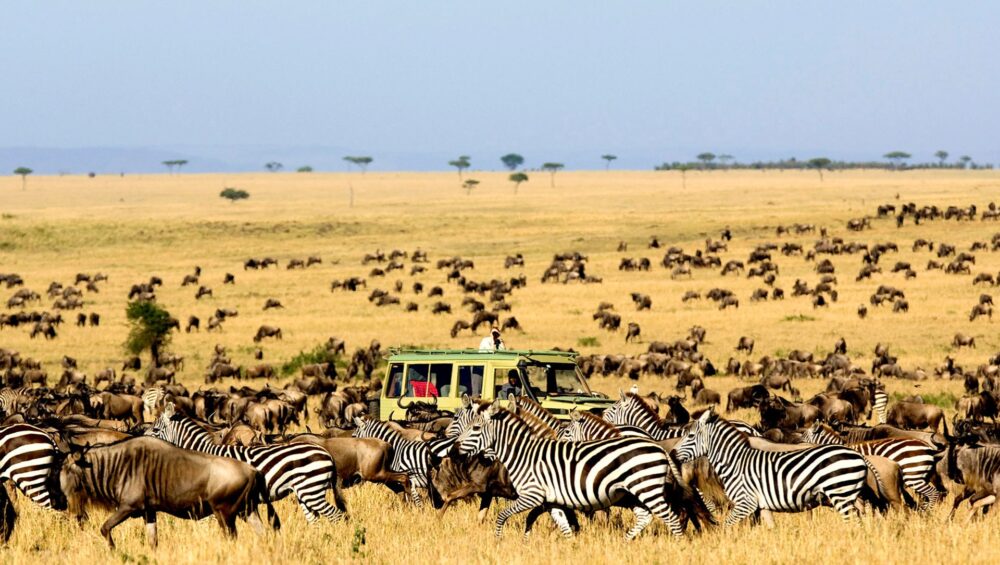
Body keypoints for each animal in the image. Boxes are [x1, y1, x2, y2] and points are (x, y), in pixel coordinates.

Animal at [146, 404, 346, 524]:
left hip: (312, 489)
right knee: (315, 520)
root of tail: (326, 453)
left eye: (155, 429)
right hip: (304, 492)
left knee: (336, 515)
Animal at [456, 400, 684, 536]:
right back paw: (627, 542)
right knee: (646, 516)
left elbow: (503, 515)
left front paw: (498, 540)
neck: (524, 454)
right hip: (635, 492)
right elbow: (564, 527)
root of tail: (658, 446)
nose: (455, 449)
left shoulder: (532, 495)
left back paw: (678, 545)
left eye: (475, 428)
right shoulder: (551, 500)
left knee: (671, 518)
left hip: (646, 489)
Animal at [676, 410, 872, 524]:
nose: (672, 453)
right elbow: (768, 528)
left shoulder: (745, 502)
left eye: (690, 435)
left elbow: (728, 525)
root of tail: (859, 456)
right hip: (848, 495)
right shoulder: (760, 505)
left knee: (853, 521)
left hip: (840, 494)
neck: (735, 461)